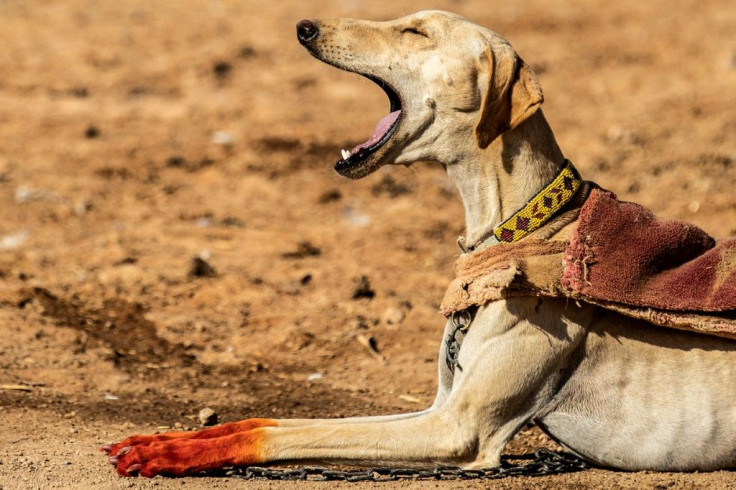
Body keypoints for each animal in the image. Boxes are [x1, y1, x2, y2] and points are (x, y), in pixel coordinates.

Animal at [103, 11, 736, 476]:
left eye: (416, 32)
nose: (304, 25)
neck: (520, 231)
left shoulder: (457, 430)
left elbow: (288, 433)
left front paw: (172, 454)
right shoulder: (438, 407)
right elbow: (265, 422)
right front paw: (169, 440)